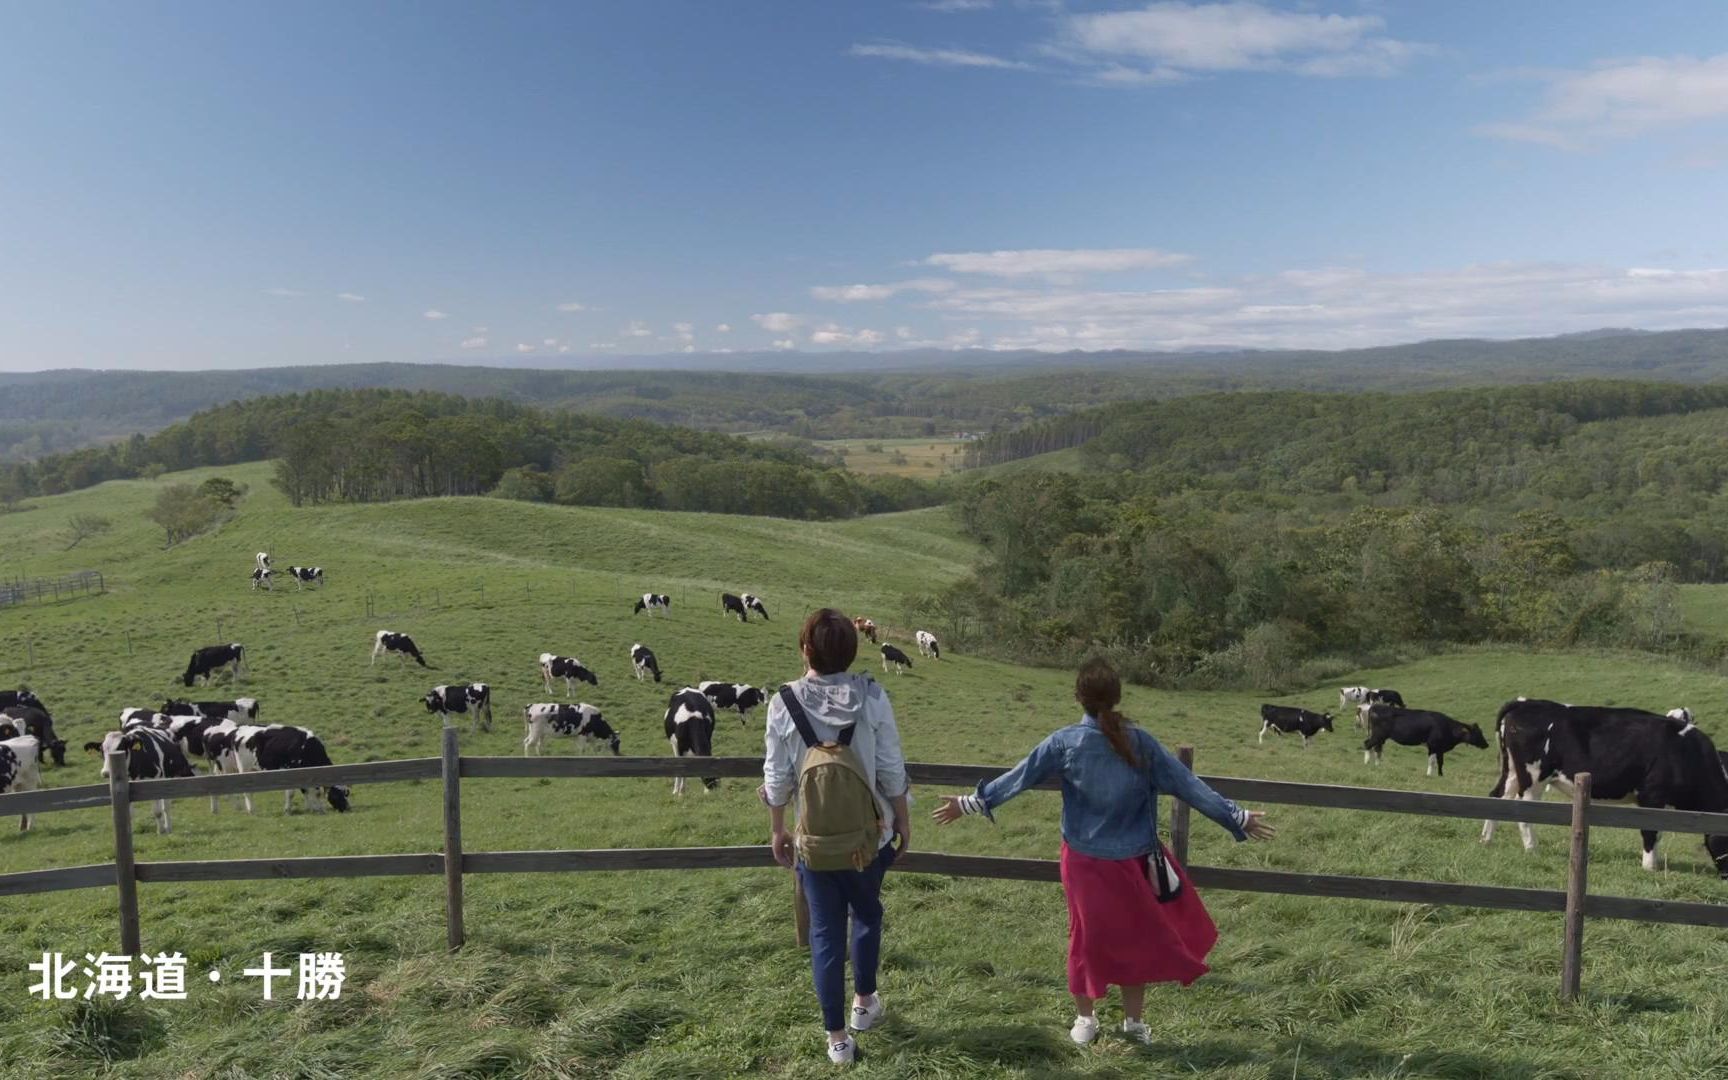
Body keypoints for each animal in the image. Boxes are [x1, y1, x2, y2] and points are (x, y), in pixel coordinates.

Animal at [1479, 694, 1728, 870]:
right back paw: (1532, 848)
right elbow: (1651, 831)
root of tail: (1524, 703)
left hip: (1511, 771)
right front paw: (1649, 867)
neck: (1686, 752)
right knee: (1524, 809)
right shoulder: (1652, 795)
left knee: (1497, 797)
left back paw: (1486, 840)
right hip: (1532, 777)